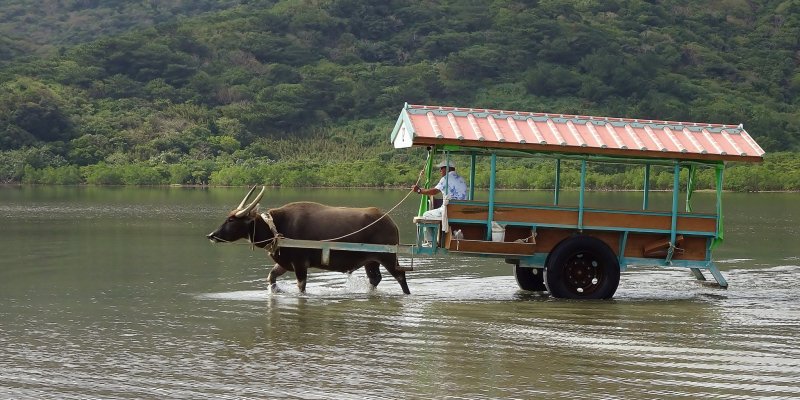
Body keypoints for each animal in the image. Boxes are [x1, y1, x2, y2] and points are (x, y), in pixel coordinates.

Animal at [205, 187, 412, 294]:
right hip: (371, 261)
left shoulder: (300, 264)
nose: (211, 235)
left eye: (231, 220)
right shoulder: (285, 263)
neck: (277, 227)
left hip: (388, 258)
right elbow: (271, 278)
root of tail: (390, 221)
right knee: (375, 279)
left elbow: (301, 287)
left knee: (400, 276)